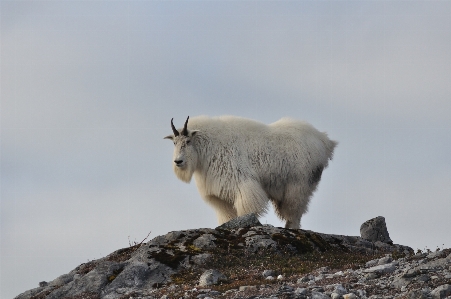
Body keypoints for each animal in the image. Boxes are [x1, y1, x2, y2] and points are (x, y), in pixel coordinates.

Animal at [164, 116, 338, 229]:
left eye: (188, 141)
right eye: (174, 143)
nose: (178, 162)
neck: (209, 146)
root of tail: (325, 141)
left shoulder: (241, 183)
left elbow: (246, 208)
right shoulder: (219, 195)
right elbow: (227, 215)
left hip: (299, 184)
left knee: (295, 209)